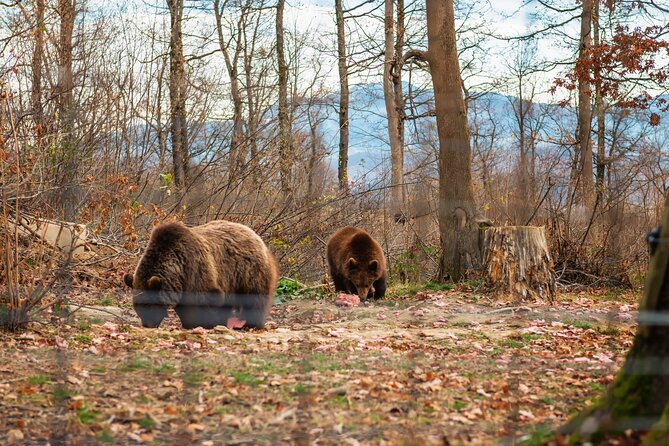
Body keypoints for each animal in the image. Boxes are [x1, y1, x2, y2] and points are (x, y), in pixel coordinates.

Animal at [123, 220, 278, 329]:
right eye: (138, 307)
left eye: (150, 306)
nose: (148, 324)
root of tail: (255, 235)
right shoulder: (182, 284)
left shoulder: (197, 271)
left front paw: (206, 323)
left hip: (248, 271)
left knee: (255, 298)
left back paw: (252, 324)